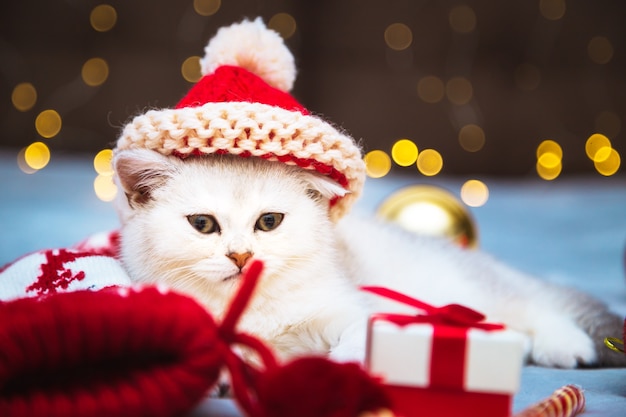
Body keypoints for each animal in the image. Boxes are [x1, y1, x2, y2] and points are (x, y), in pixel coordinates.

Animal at [113, 149, 624, 368]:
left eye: (269, 222)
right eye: (202, 225)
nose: (241, 256)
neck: (252, 309)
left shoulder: (351, 305)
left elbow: (362, 331)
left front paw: (346, 358)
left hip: (466, 289)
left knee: (533, 305)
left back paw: (564, 345)